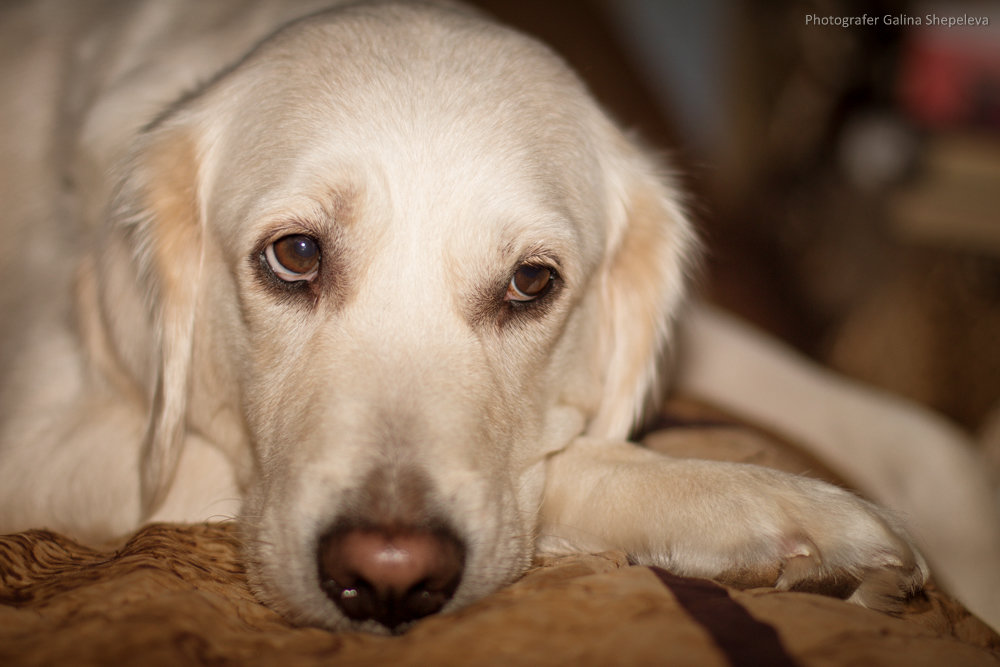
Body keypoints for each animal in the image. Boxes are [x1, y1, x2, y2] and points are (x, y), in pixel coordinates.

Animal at [0, 0, 996, 636]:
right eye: (296, 255)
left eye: (530, 282)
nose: (388, 577)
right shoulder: (47, 442)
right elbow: (574, 458)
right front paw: (766, 508)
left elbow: (919, 439)